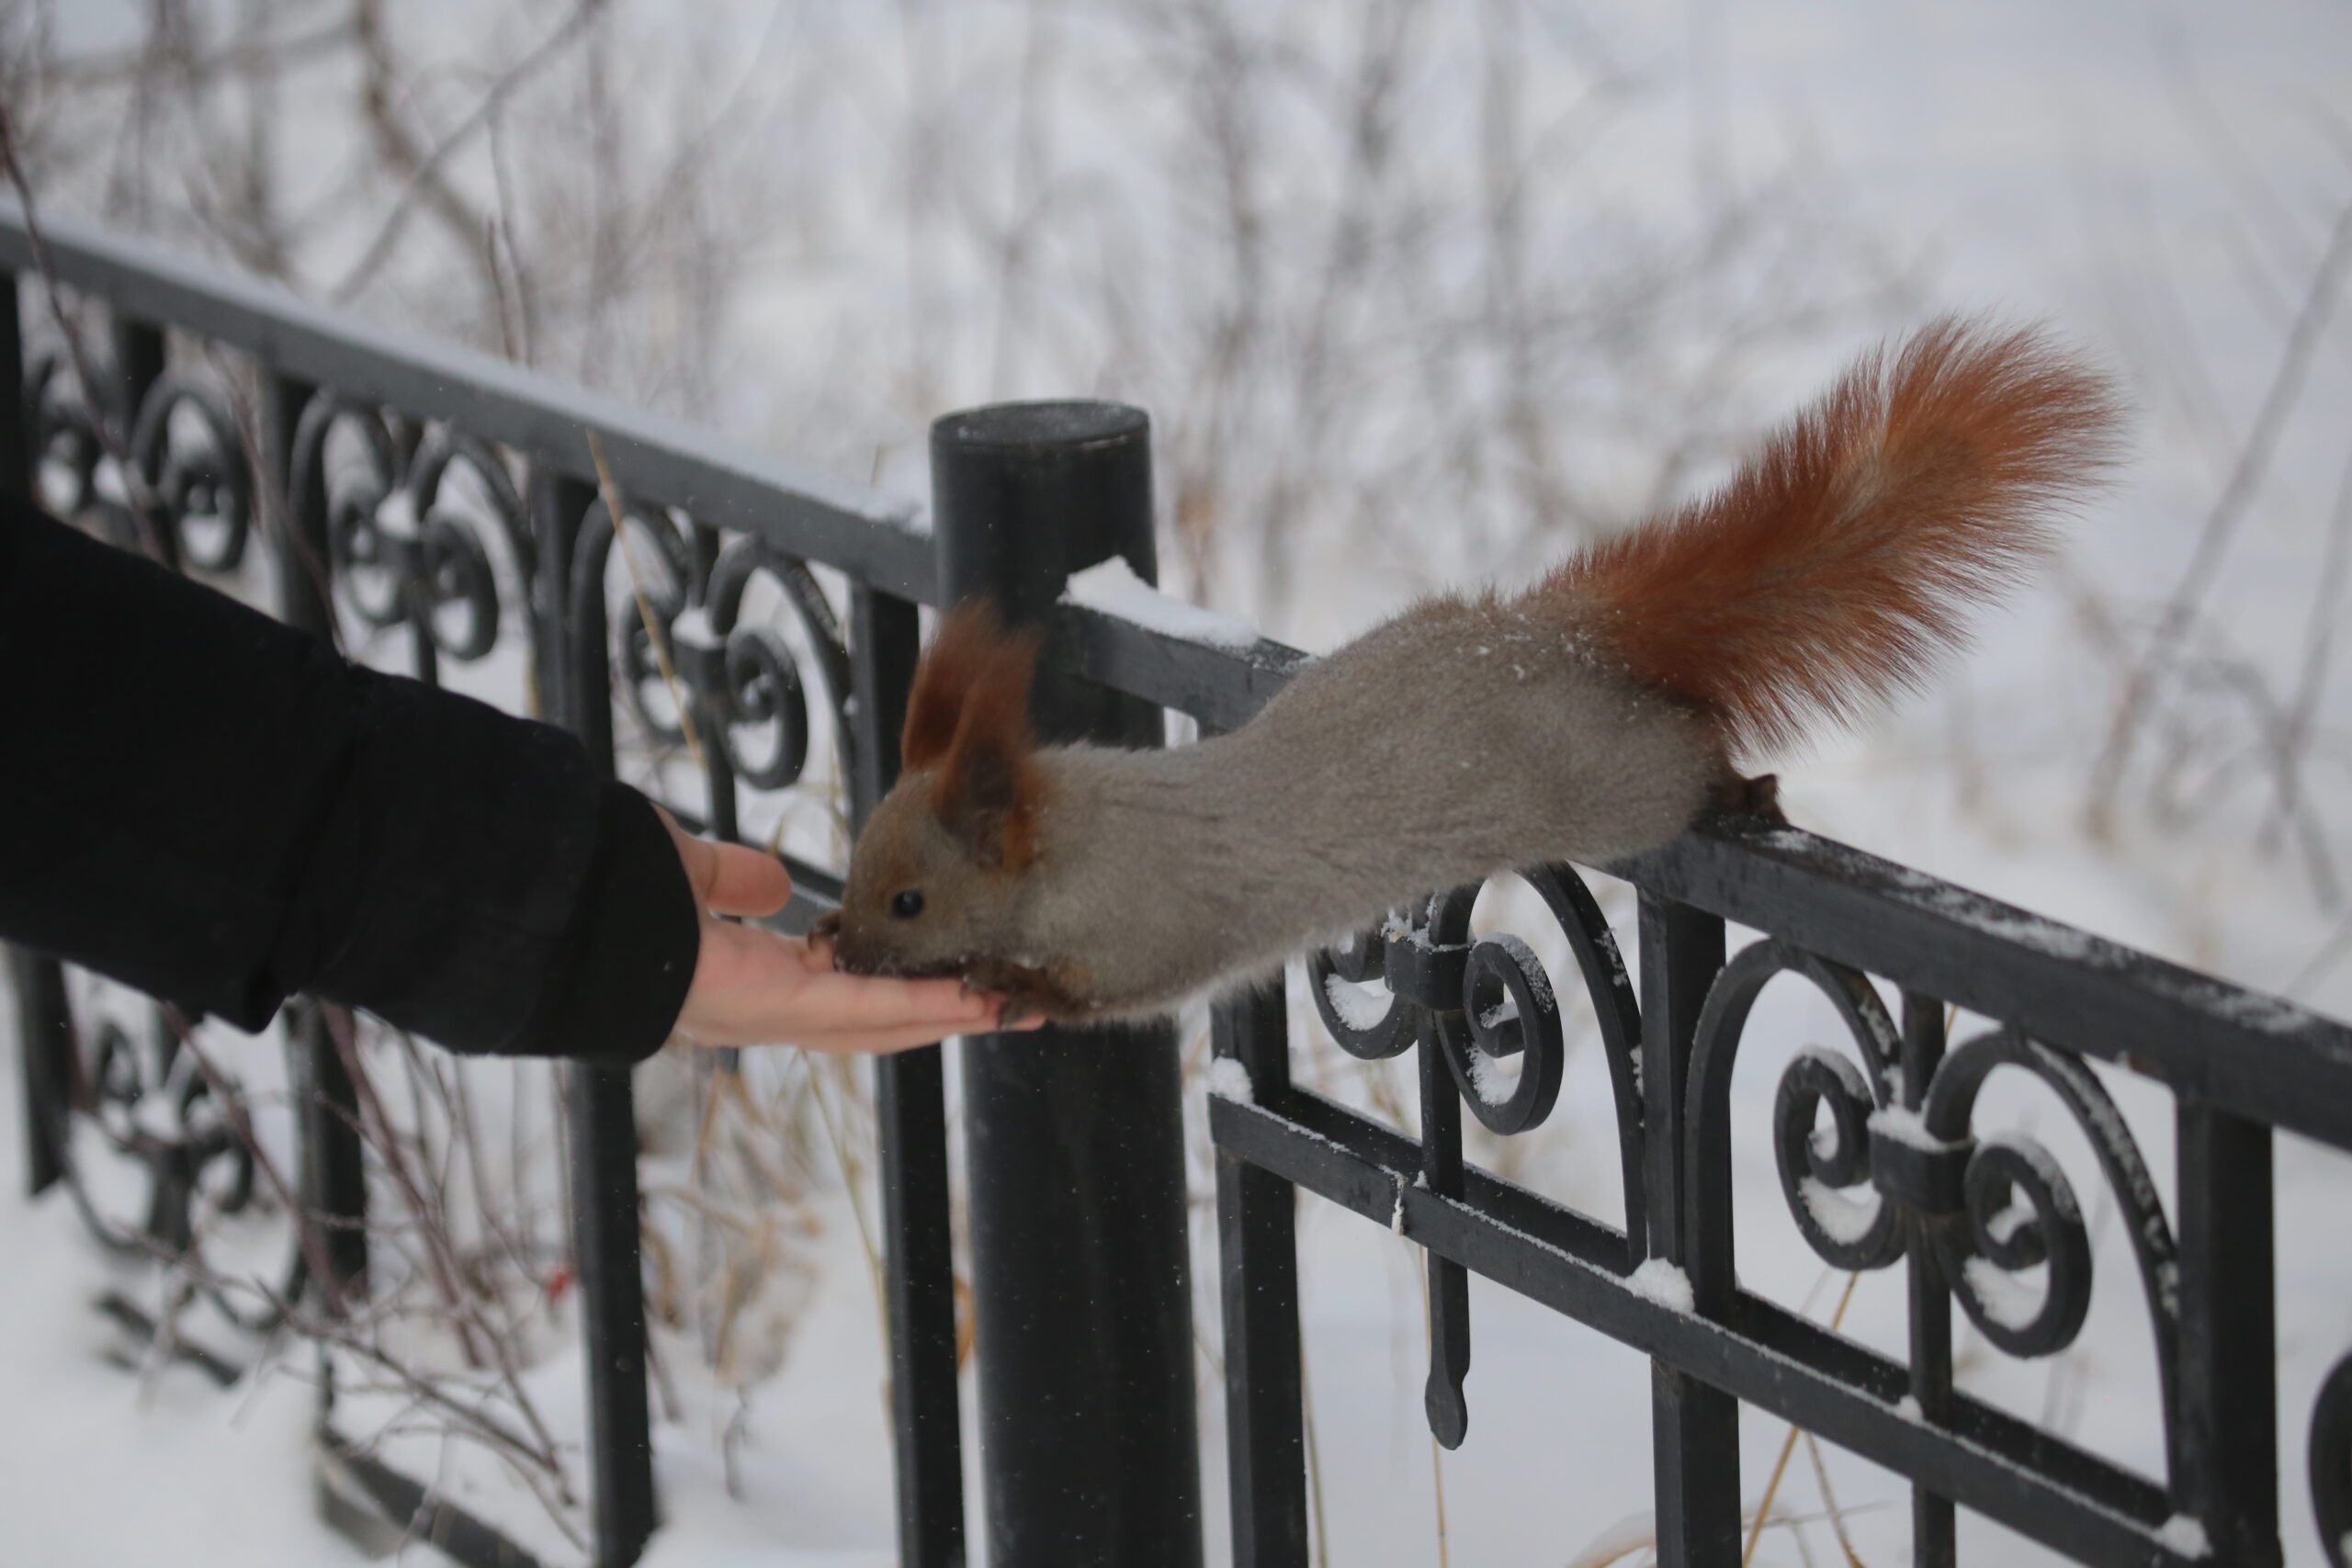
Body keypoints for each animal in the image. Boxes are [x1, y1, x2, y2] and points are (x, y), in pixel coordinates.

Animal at [823, 320, 2135, 1029]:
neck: (1077, 839)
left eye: (911, 902)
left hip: (1617, 778)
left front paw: (1016, 985)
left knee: (1681, 759)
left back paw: (1741, 789)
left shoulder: (1159, 926)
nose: (835, 948)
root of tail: (1557, 642)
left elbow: (1124, 993)